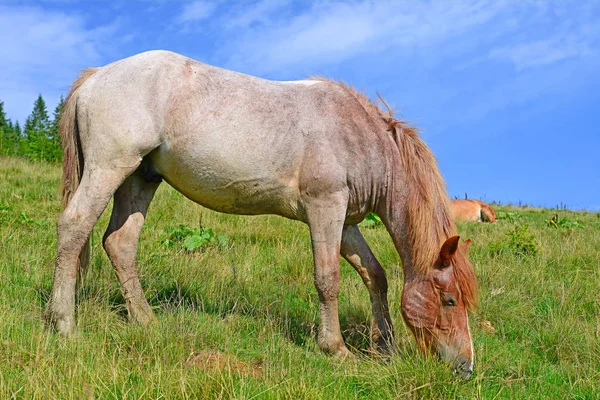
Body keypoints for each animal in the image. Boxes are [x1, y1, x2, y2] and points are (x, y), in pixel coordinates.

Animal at [45, 50, 478, 378]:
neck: (360, 136)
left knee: (120, 243)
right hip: (110, 167)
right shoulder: (325, 208)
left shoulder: (345, 221)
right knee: (74, 226)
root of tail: (97, 75)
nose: (465, 368)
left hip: (140, 178)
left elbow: (375, 275)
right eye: (450, 300)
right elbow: (328, 279)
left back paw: (146, 322)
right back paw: (64, 325)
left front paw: (384, 347)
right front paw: (335, 348)